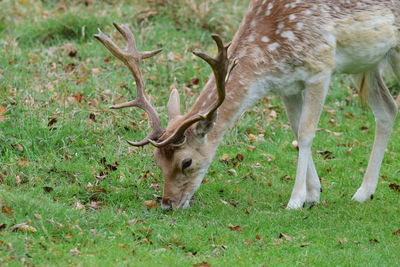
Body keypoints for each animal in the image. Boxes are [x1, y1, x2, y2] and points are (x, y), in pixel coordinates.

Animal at [94, 0, 400, 210]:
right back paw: (363, 193)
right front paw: (313, 194)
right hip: (368, 64)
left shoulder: (320, 67)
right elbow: (296, 132)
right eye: (157, 160)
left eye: (186, 162)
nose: (168, 203)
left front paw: (295, 200)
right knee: (387, 109)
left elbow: (306, 133)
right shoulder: (288, 86)